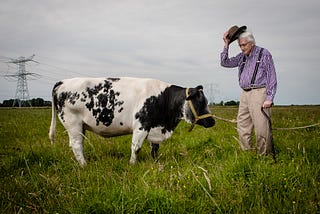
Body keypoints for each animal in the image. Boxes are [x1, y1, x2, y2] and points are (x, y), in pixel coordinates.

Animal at [49, 77, 215, 166]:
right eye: (201, 102)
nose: (213, 121)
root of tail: (62, 82)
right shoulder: (142, 125)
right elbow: (136, 147)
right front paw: (132, 164)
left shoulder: (153, 127)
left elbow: (154, 148)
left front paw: (154, 162)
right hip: (73, 124)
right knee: (76, 145)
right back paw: (84, 165)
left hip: (80, 126)